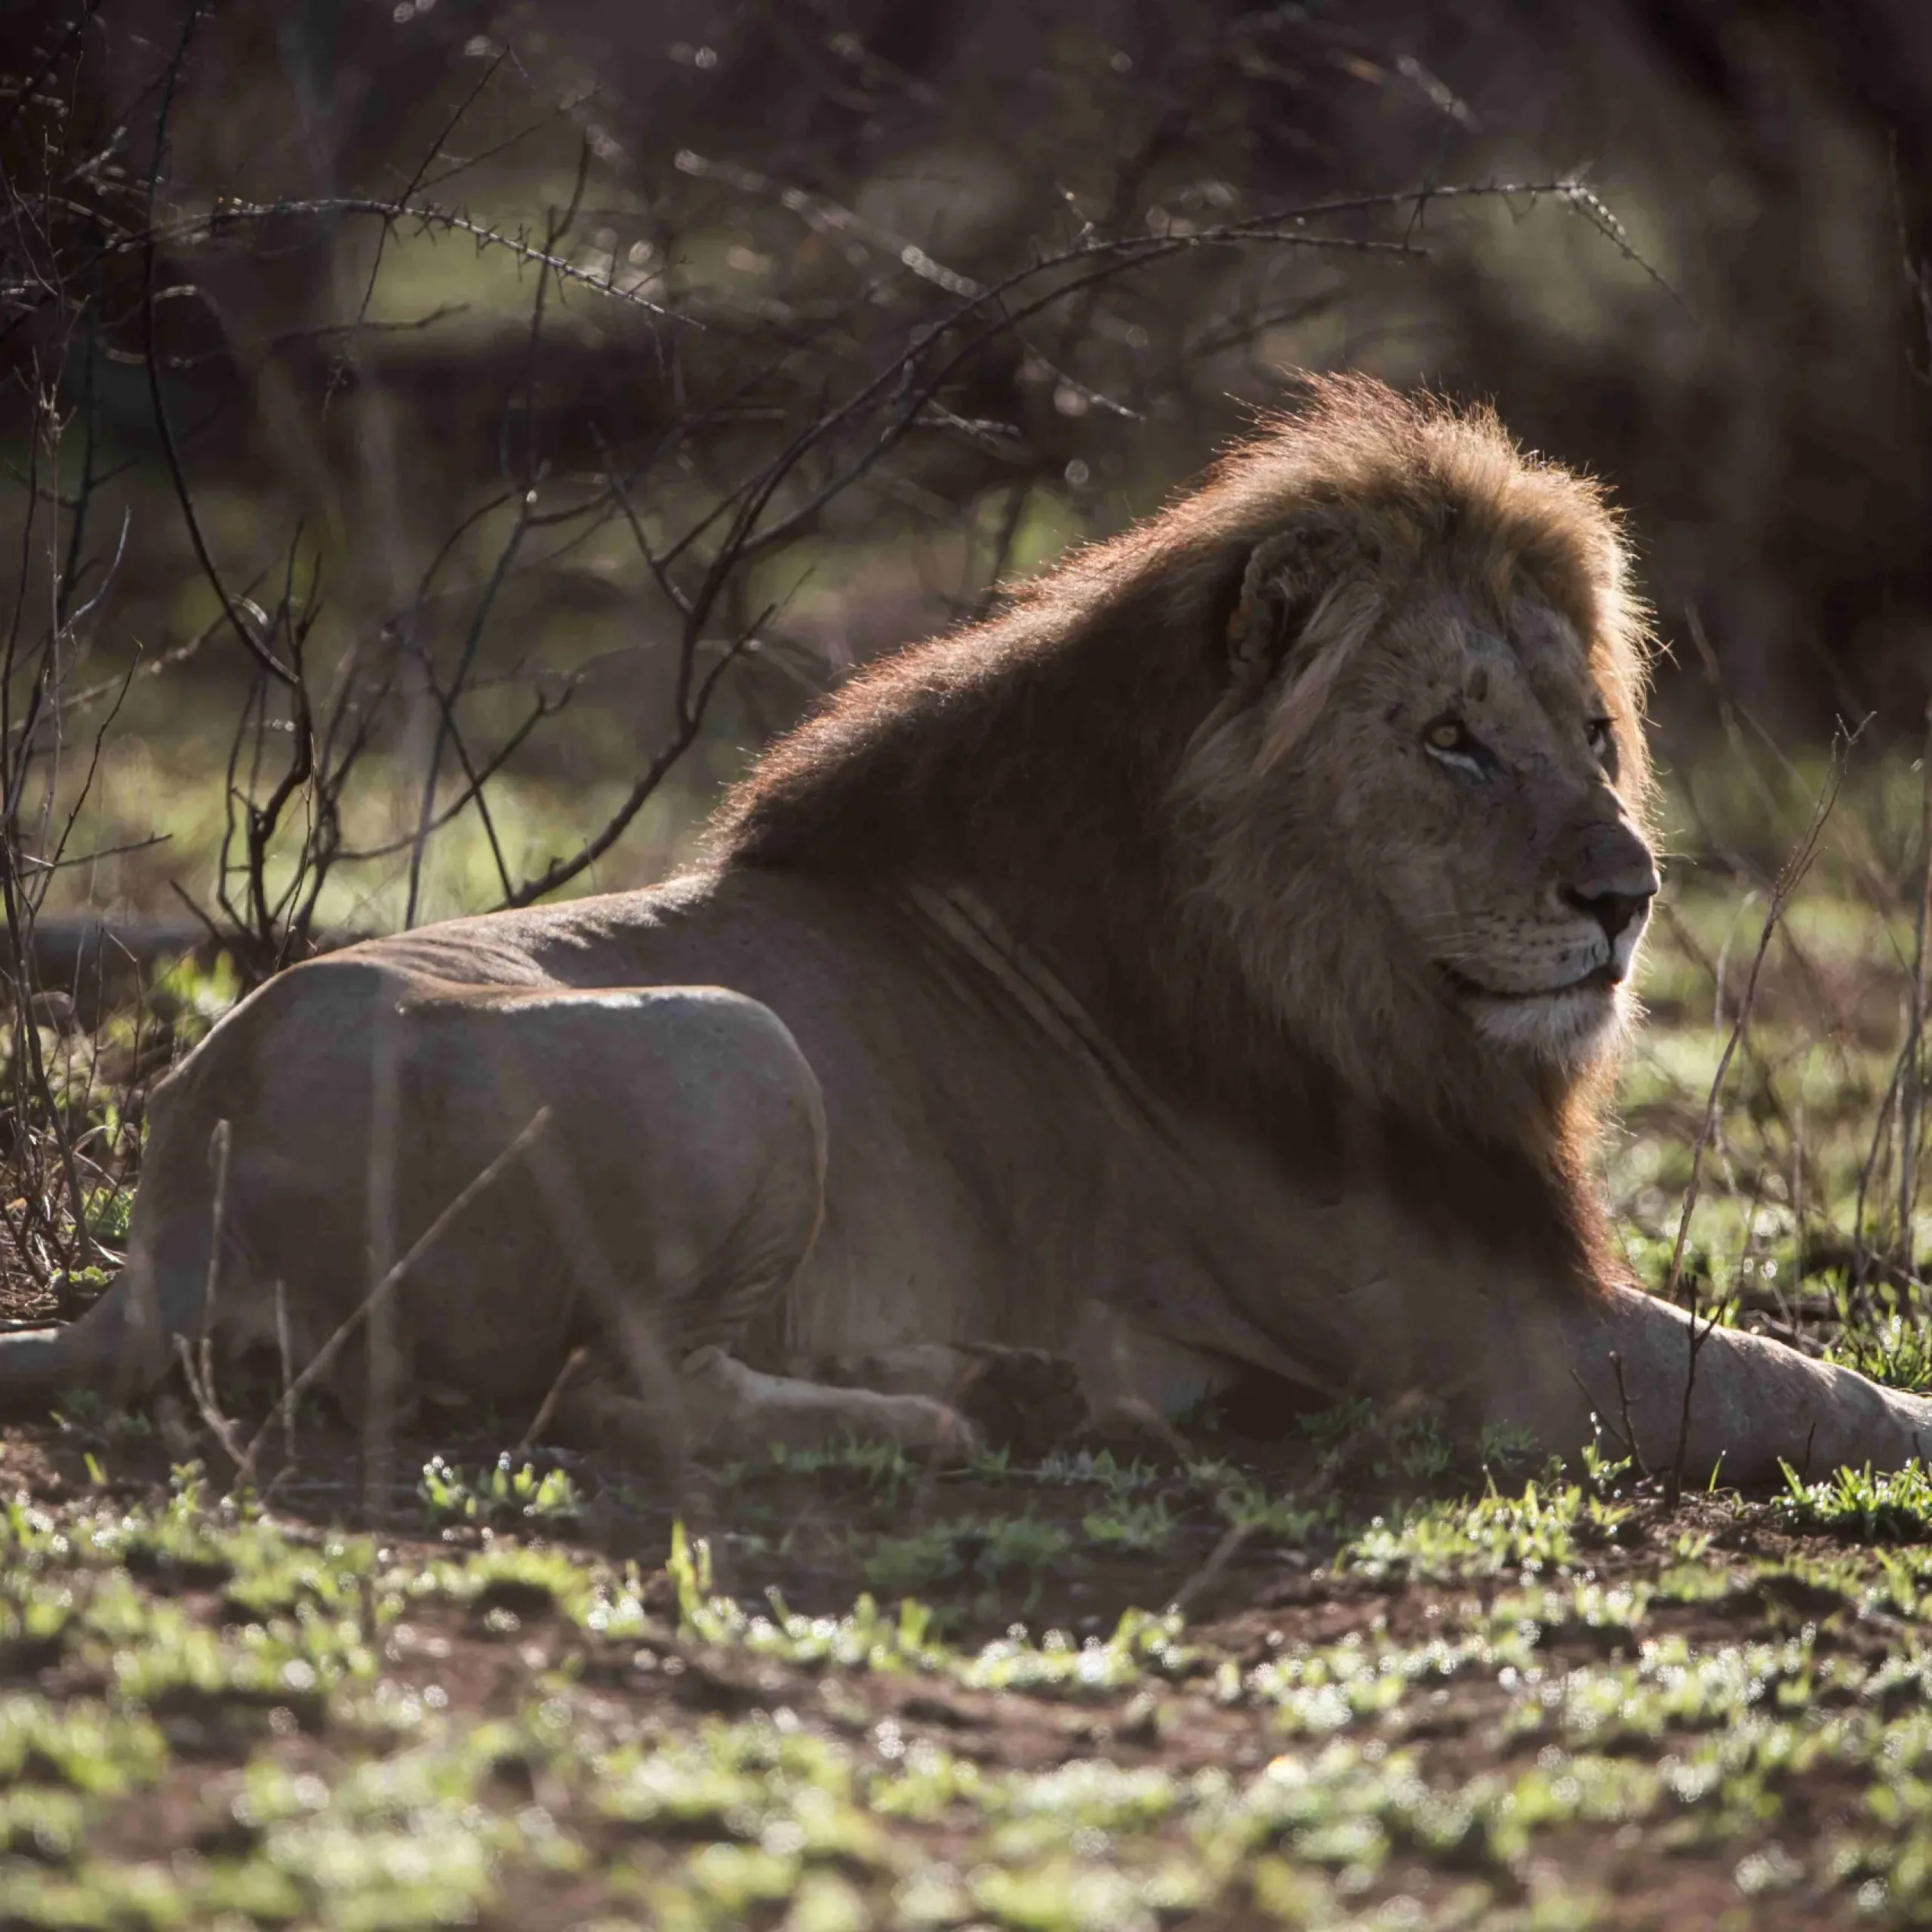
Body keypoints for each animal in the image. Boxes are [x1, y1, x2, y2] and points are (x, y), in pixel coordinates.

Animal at [2, 374, 1927, 1485]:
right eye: (1448, 736)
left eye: (1591, 732)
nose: (1623, 892)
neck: (1326, 980)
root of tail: (170, 1222)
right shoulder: (1488, 1341)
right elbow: (1798, 1386)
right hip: (740, 1047)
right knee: (617, 1394)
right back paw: (973, 1414)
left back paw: (1045, 1388)